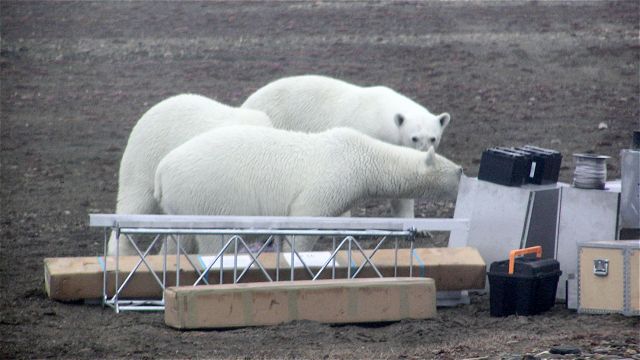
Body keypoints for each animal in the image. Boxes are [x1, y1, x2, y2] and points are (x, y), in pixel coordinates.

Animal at [155, 126, 464, 253]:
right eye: (457, 171)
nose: (465, 170)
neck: (363, 156)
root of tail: (162, 169)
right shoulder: (333, 176)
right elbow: (305, 216)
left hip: (181, 201)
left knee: (177, 238)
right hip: (207, 192)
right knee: (211, 238)